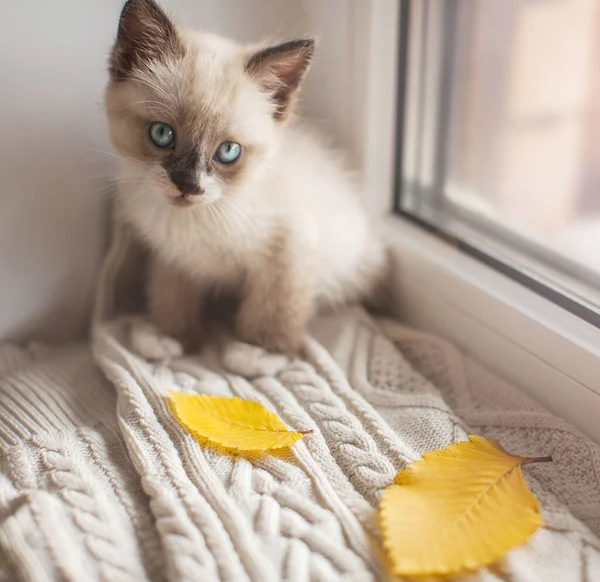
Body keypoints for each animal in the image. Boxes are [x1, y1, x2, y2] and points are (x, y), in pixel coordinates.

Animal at [105, 0, 386, 358]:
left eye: (228, 151)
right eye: (162, 134)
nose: (187, 186)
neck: (195, 220)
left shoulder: (289, 247)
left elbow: (273, 311)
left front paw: (258, 352)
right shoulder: (176, 257)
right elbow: (172, 297)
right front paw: (170, 336)